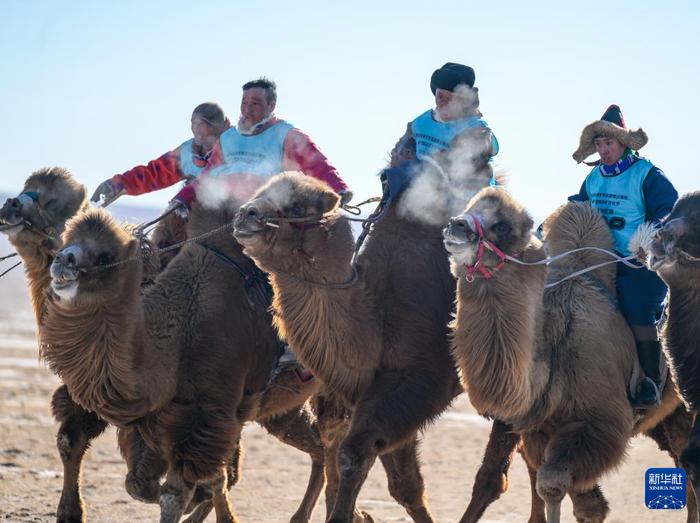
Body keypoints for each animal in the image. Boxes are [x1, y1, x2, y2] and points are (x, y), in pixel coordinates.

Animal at [0, 169, 326, 523]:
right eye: (28, 187)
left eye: (54, 201)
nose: (10, 205)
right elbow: (75, 444)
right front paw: (71, 513)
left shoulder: (196, 411)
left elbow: (174, 487)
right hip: (279, 409)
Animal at [446, 188, 692, 523]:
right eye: (470, 206)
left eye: (503, 226)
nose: (455, 226)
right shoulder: (538, 430)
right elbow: (582, 502)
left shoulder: (601, 425)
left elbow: (552, 486)